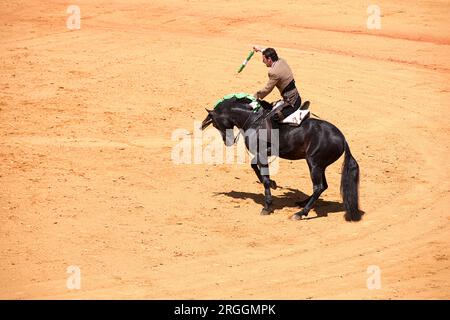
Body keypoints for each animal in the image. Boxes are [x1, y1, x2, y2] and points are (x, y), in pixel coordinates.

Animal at [201, 96, 362, 221]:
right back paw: (302, 203)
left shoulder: (262, 154)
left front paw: (267, 205)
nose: (227, 141)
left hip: (314, 165)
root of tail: (342, 139)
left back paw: (300, 213)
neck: (253, 120)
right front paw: (273, 184)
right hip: (319, 166)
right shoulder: (262, 154)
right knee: (323, 186)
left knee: (318, 187)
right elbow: (255, 167)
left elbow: (263, 177)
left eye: (214, 123)